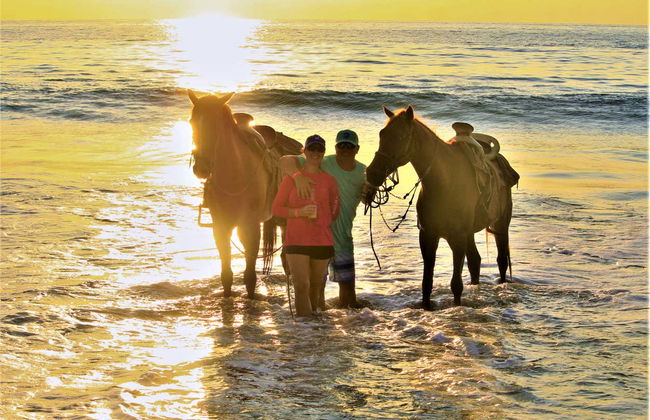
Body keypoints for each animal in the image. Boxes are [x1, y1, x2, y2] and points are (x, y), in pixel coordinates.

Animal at [188, 90, 301, 298]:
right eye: (192, 122)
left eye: (216, 124)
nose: (201, 168)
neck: (235, 174)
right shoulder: (221, 226)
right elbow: (226, 275)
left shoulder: (250, 225)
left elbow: (249, 277)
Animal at [365, 105, 518, 309]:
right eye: (382, 134)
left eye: (401, 136)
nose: (372, 173)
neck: (444, 182)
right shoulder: (428, 236)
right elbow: (426, 283)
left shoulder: (458, 239)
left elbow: (456, 285)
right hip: (469, 233)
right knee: (475, 262)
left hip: (500, 225)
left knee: (501, 261)